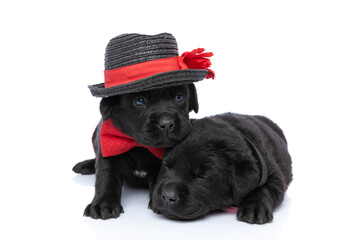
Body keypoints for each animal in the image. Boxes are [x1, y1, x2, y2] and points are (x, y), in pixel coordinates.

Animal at [71, 33, 215, 219]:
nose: (166, 123)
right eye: (139, 101)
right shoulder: (107, 152)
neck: (138, 145)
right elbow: (106, 178)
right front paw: (103, 204)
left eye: (179, 97)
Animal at [150, 112, 292, 223]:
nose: (168, 196)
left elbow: (266, 188)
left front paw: (255, 208)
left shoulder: (273, 171)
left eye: (202, 175)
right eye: (166, 165)